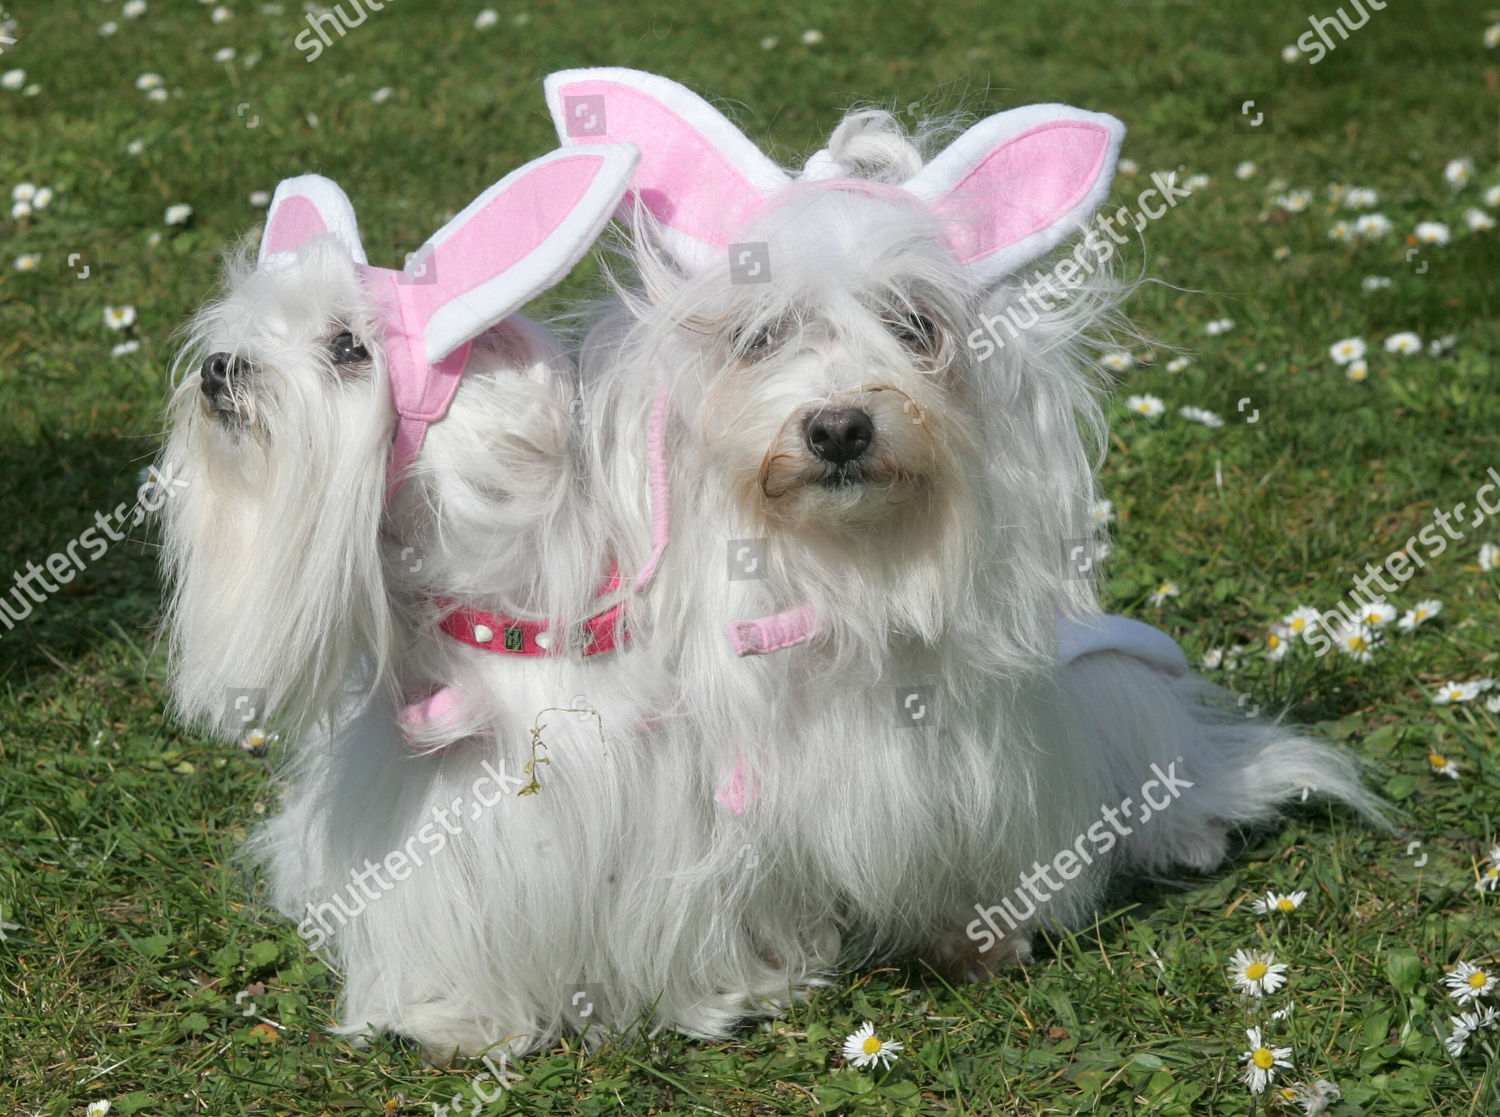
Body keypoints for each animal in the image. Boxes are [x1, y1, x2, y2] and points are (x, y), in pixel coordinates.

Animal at [164, 71, 1380, 1061]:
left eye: (347, 348)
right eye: (759, 335)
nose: (221, 370)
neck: (512, 620)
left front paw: (735, 994)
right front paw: (458, 1021)